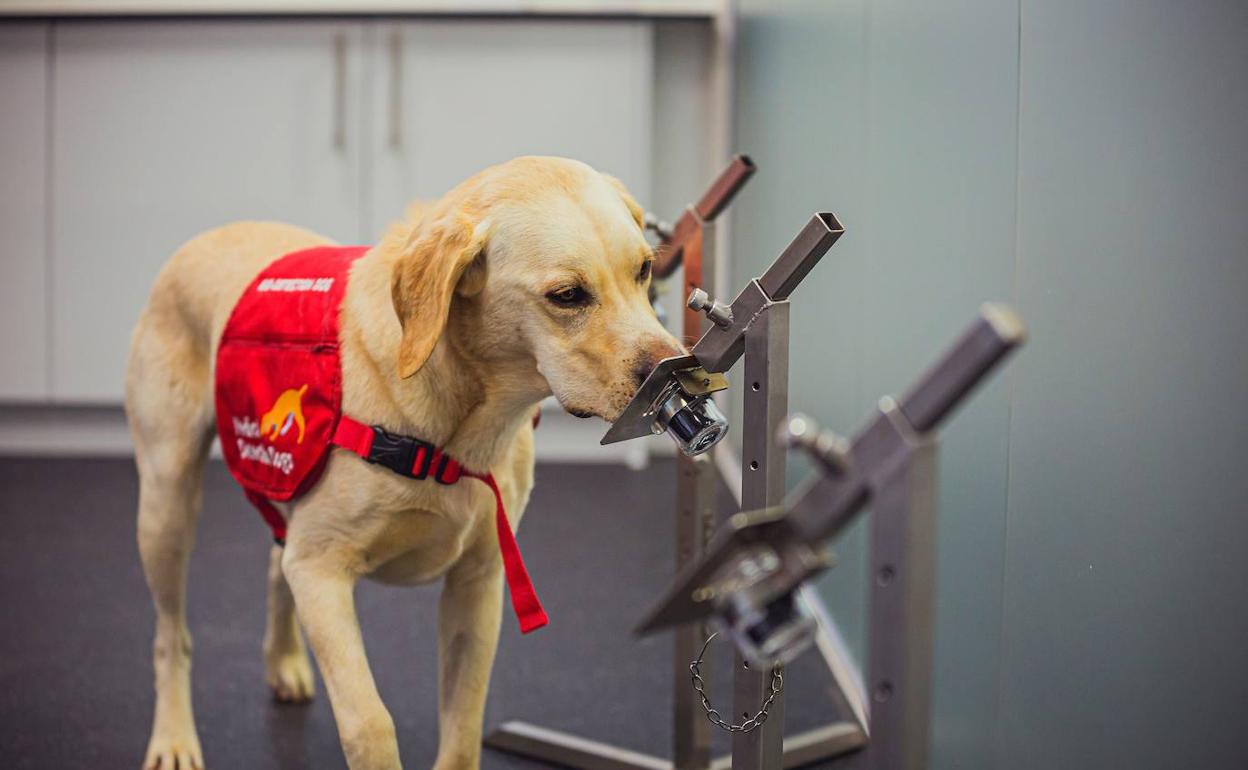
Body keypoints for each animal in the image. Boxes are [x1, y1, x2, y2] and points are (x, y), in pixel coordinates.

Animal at [126, 152, 683, 763]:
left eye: (645, 270)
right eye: (567, 295)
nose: (680, 375)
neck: (462, 427)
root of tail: (202, 238)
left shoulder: (478, 582)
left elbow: (463, 722)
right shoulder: (321, 573)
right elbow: (370, 722)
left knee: (276, 561)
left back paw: (285, 661)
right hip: (167, 505)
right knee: (170, 635)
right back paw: (174, 736)